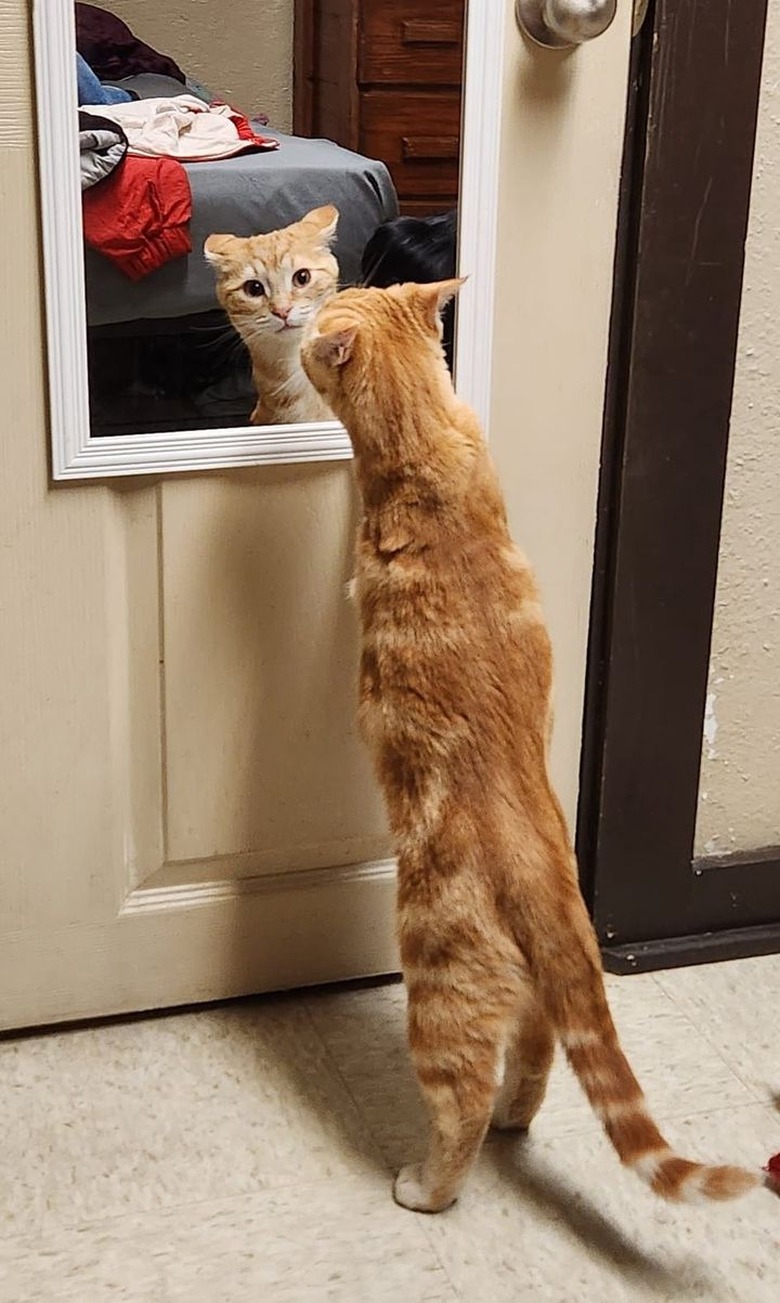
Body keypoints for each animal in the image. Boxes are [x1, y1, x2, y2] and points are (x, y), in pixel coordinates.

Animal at [300, 280, 780, 1214]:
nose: (313, 303)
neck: (427, 440)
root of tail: (557, 896)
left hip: (438, 992)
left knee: (462, 1103)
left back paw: (426, 1185)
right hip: (532, 1006)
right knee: (538, 1062)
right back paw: (516, 1123)